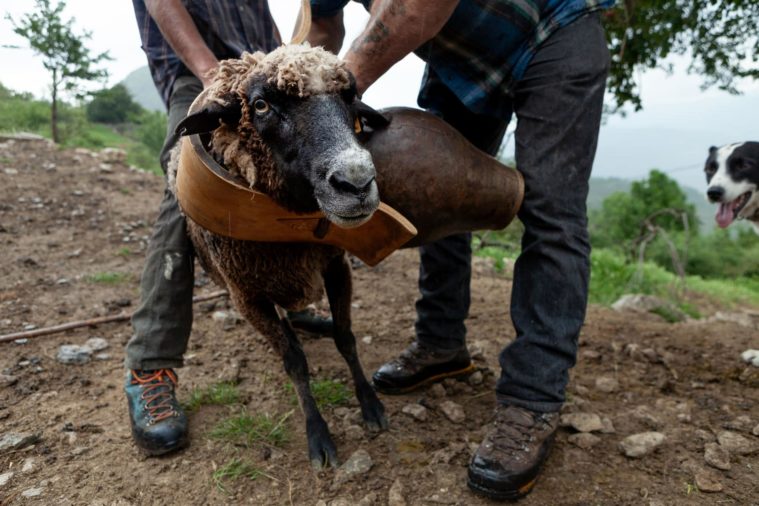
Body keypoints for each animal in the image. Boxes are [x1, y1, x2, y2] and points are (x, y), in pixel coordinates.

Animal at [171, 44, 392, 470]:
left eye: (350, 97)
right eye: (260, 105)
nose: (356, 184)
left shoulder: (336, 265)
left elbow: (346, 337)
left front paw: (370, 404)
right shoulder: (247, 296)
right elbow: (294, 361)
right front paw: (318, 434)